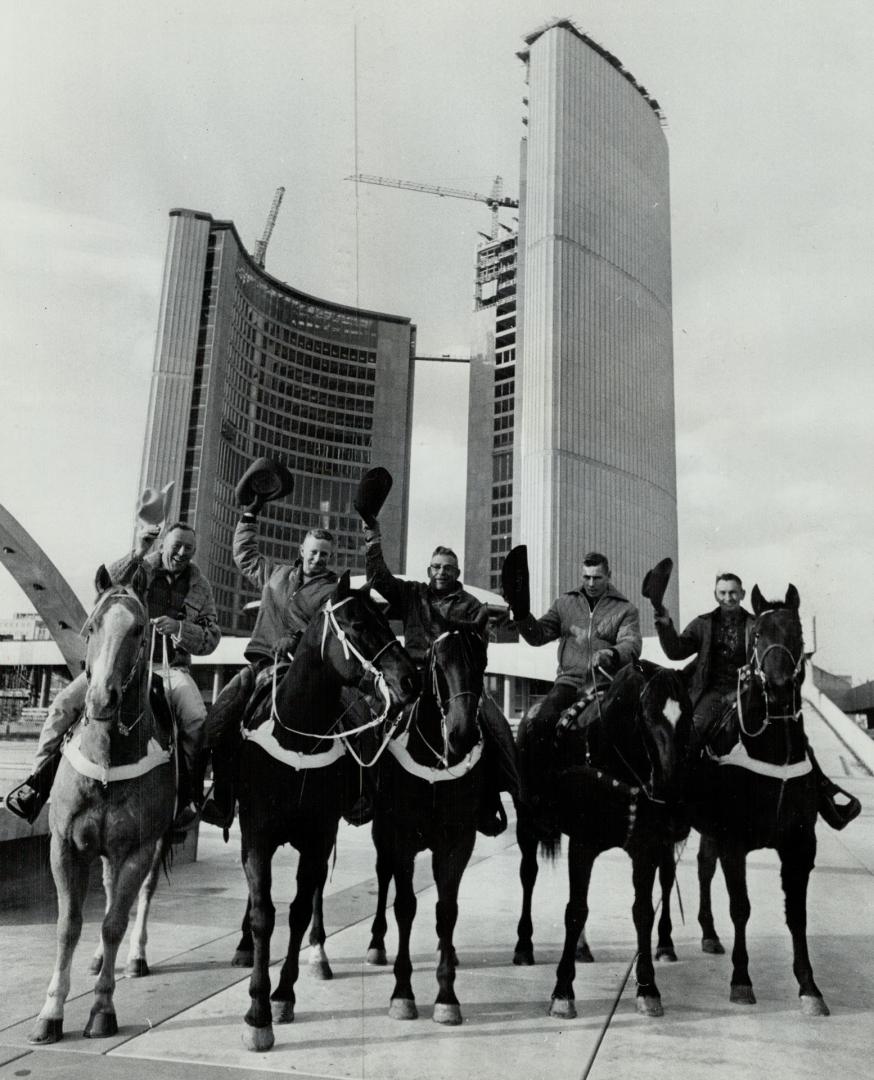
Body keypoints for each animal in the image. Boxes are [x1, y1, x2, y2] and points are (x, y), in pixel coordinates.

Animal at [29, 570, 176, 1041]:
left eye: (139, 630)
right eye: (91, 627)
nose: (100, 699)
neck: (109, 757)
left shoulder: (138, 848)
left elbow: (114, 922)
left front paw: (101, 1008)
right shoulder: (64, 845)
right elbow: (68, 925)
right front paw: (51, 1011)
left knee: (138, 898)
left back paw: (135, 957)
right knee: (111, 892)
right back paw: (95, 960)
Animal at [236, 574, 417, 1054]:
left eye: (385, 616)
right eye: (357, 623)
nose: (409, 678)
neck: (297, 741)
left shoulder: (318, 835)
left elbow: (299, 910)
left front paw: (282, 996)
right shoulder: (257, 834)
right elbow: (263, 914)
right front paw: (257, 1012)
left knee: (355, 880)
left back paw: (330, 951)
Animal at [362, 626, 490, 1019]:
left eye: (483, 663)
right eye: (439, 666)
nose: (462, 734)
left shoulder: (457, 841)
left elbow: (446, 910)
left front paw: (447, 995)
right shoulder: (400, 837)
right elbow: (405, 906)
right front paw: (402, 993)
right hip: (382, 835)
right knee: (383, 875)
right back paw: (376, 943)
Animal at [512, 656, 687, 1019]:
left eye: (687, 714)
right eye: (648, 716)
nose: (672, 795)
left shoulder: (646, 848)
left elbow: (643, 911)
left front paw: (648, 988)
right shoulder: (583, 845)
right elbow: (575, 910)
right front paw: (563, 992)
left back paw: (582, 947)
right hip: (527, 825)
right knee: (528, 876)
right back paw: (524, 946)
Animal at [687, 587, 829, 1015]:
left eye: (797, 632)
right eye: (758, 634)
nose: (779, 686)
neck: (773, 749)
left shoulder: (800, 844)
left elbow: (797, 914)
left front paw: (809, 987)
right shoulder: (734, 841)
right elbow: (741, 907)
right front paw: (741, 980)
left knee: (703, 866)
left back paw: (708, 932)